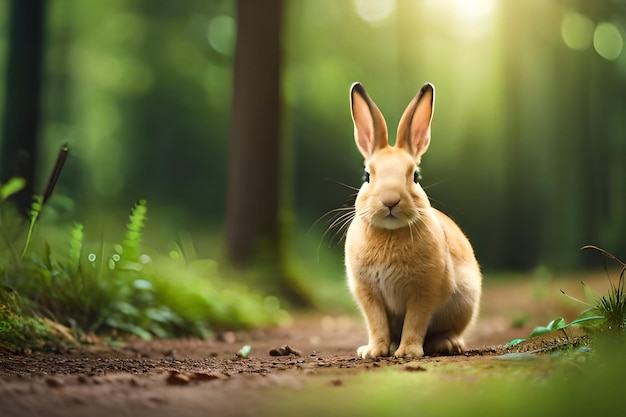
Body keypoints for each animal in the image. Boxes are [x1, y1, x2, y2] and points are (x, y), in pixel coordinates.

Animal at [344, 82, 480, 358]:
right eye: (366, 176)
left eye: (415, 176)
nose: (390, 201)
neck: (389, 233)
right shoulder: (368, 294)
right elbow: (376, 323)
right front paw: (374, 352)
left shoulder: (425, 292)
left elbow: (415, 322)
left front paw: (407, 353)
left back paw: (447, 344)